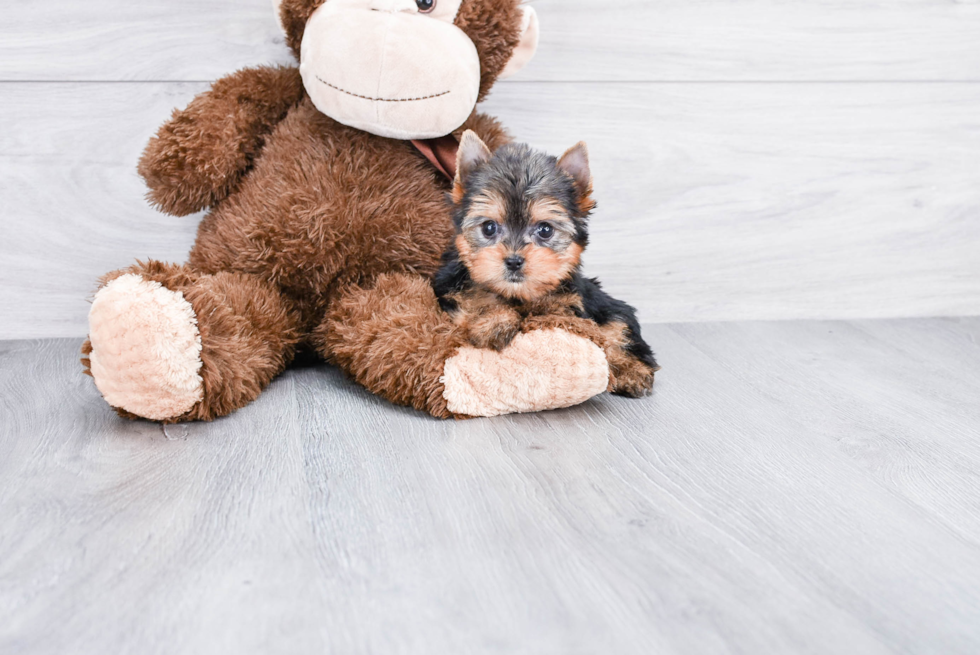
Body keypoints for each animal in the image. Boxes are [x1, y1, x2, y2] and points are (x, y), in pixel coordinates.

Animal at [434, 131, 660, 398]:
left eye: (545, 230)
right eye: (489, 228)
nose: (513, 261)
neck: (519, 295)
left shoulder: (568, 304)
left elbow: (558, 318)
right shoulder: (449, 287)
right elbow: (477, 297)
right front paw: (494, 321)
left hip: (608, 305)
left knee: (618, 327)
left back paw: (631, 370)